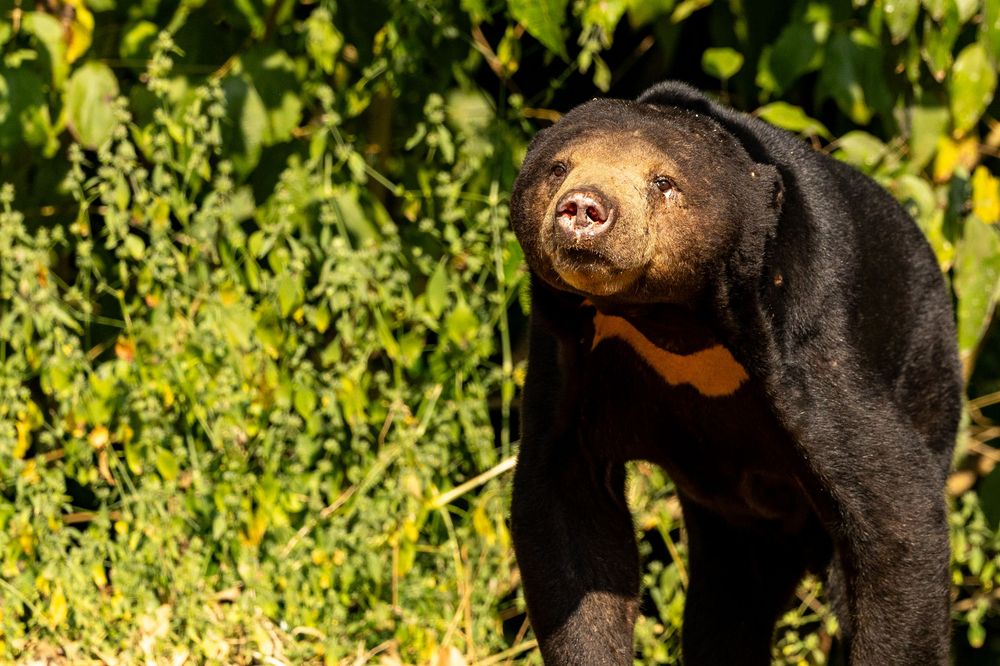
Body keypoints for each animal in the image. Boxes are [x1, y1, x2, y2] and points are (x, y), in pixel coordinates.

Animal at [508, 81, 962, 666]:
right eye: (558, 168)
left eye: (663, 182)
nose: (584, 208)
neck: (668, 318)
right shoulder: (569, 354)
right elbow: (569, 509)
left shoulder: (807, 345)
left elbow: (896, 507)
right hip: (736, 528)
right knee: (726, 607)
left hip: (926, 377)